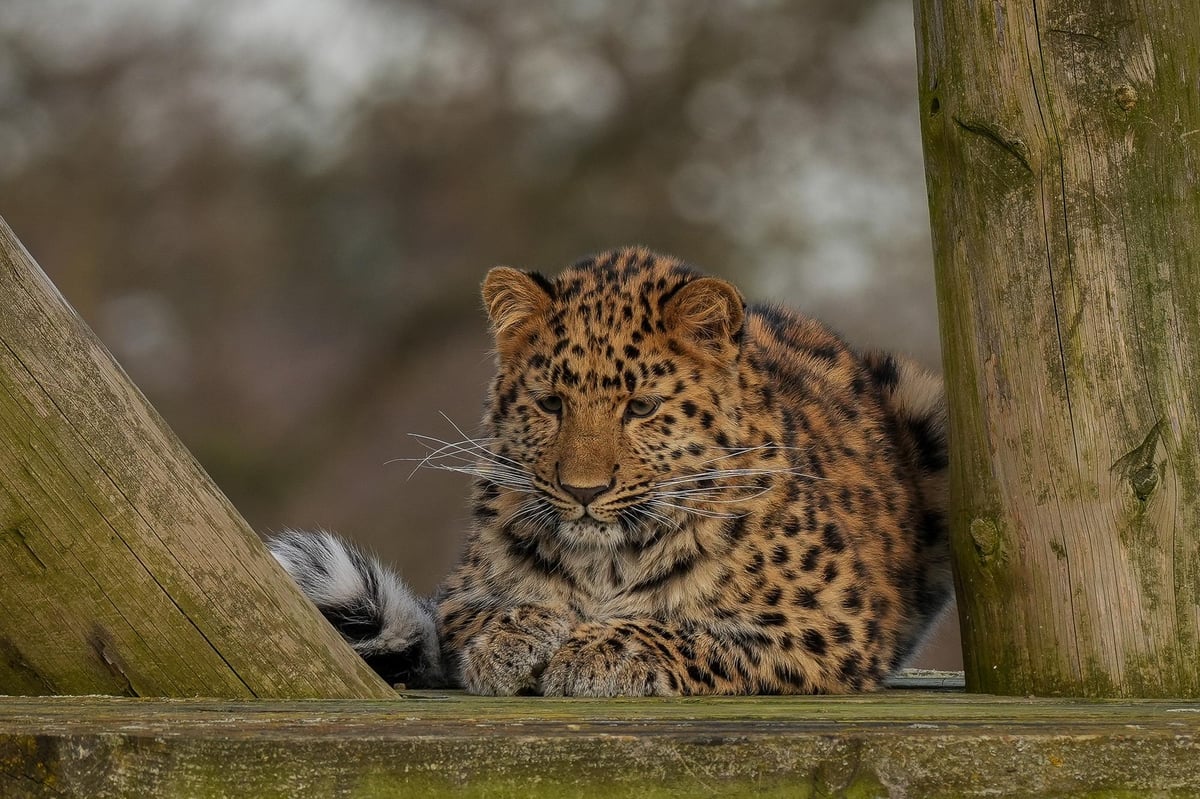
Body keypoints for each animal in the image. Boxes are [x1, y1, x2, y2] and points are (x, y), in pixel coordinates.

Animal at [271, 246, 952, 696]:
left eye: (641, 408)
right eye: (552, 404)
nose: (583, 491)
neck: (607, 563)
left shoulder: (832, 626)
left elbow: (693, 631)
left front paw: (602, 648)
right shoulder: (461, 594)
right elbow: (477, 613)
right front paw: (513, 638)